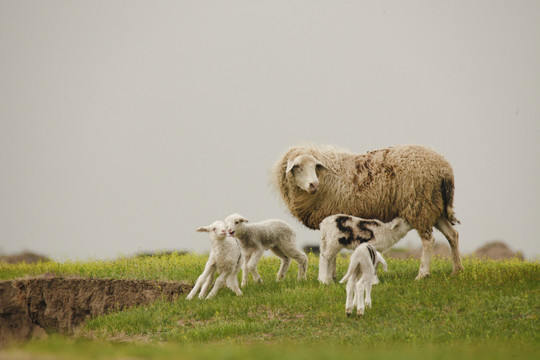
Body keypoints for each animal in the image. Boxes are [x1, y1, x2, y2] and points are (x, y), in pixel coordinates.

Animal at [272, 143, 462, 278]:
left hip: (420, 206)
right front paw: (332, 276)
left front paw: (330, 276)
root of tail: (445, 169)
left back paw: (422, 274)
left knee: (429, 240)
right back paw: (456, 270)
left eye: (315, 167)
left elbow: (331, 253)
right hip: (435, 207)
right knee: (452, 235)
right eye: (298, 167)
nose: (314, 185)